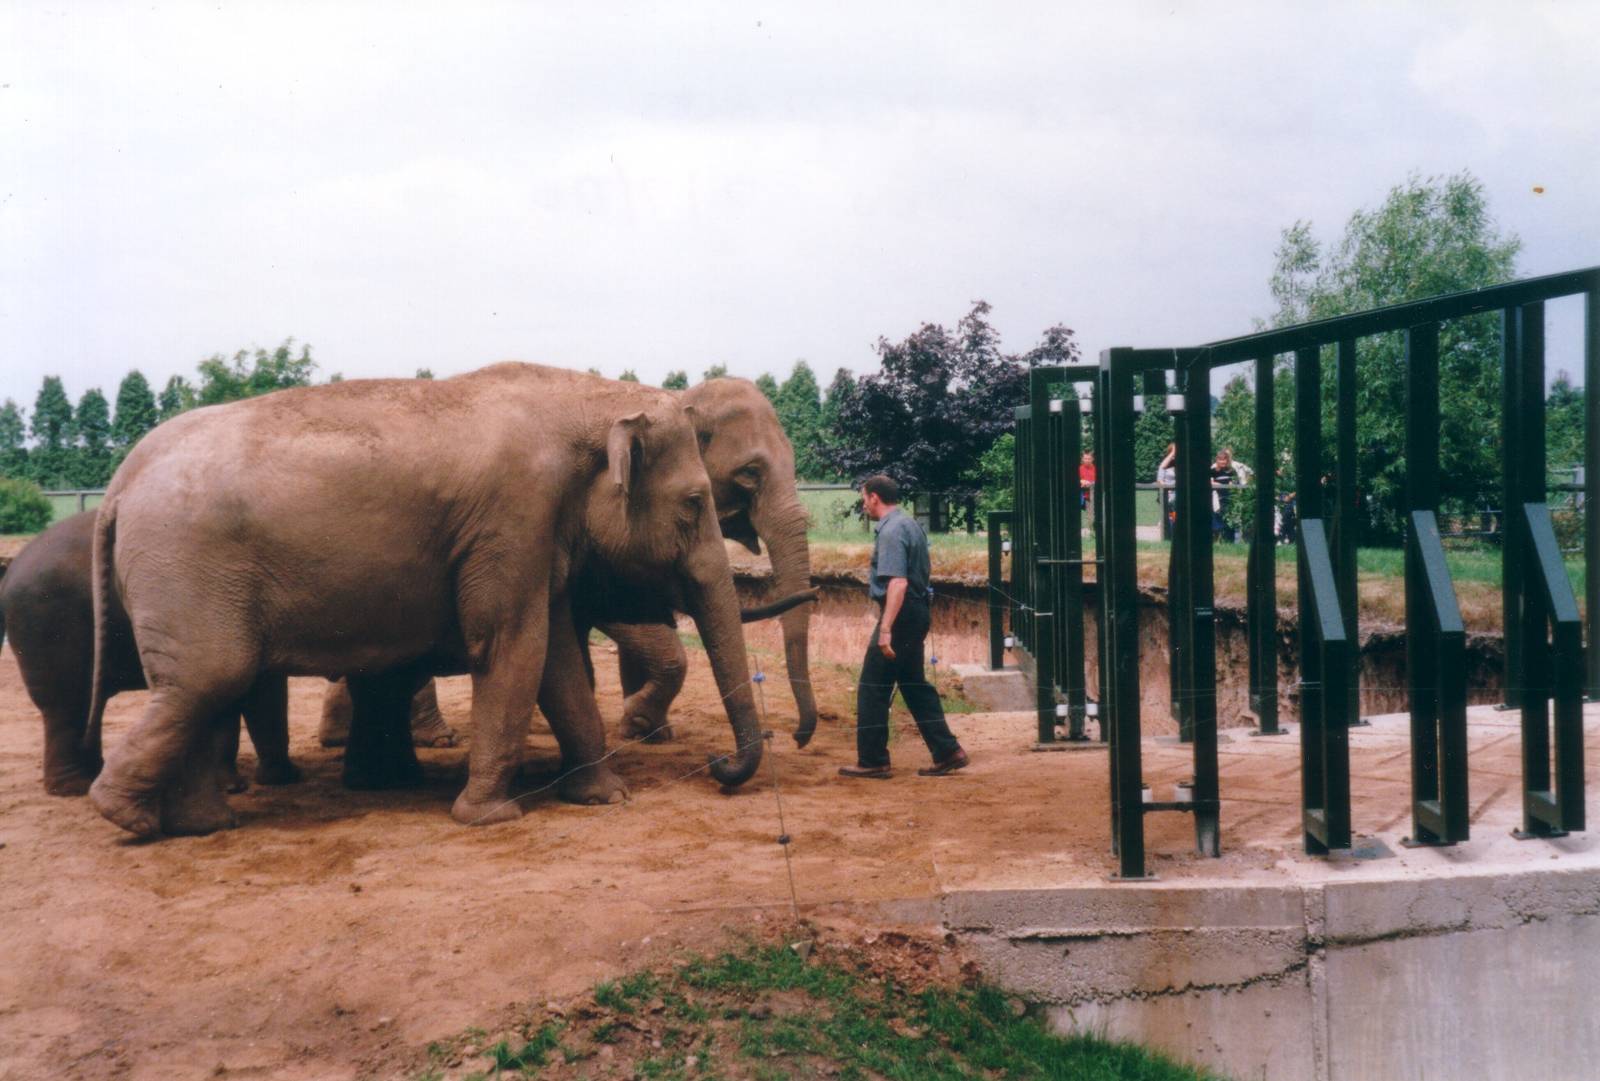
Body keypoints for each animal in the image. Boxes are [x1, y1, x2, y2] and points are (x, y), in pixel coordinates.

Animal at [0, 511, 300, 798]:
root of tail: (10, 569)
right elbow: (259, 693)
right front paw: (278, 779)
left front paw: (238, 784)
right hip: (50, 629)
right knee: (67, 705)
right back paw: (76, 787)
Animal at [85, 363, 769, 838]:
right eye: (695, 503)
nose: (717, 766)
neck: (580, 401)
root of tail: (119, 483)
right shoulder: (512, 518)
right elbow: (512, 646)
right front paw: (490, 819)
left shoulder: (533, 533)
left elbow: (556, 660)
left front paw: (606, 797)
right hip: (186, 571)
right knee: (211, 676)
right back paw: (126, 818)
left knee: (198, 687)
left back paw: (198, 826)